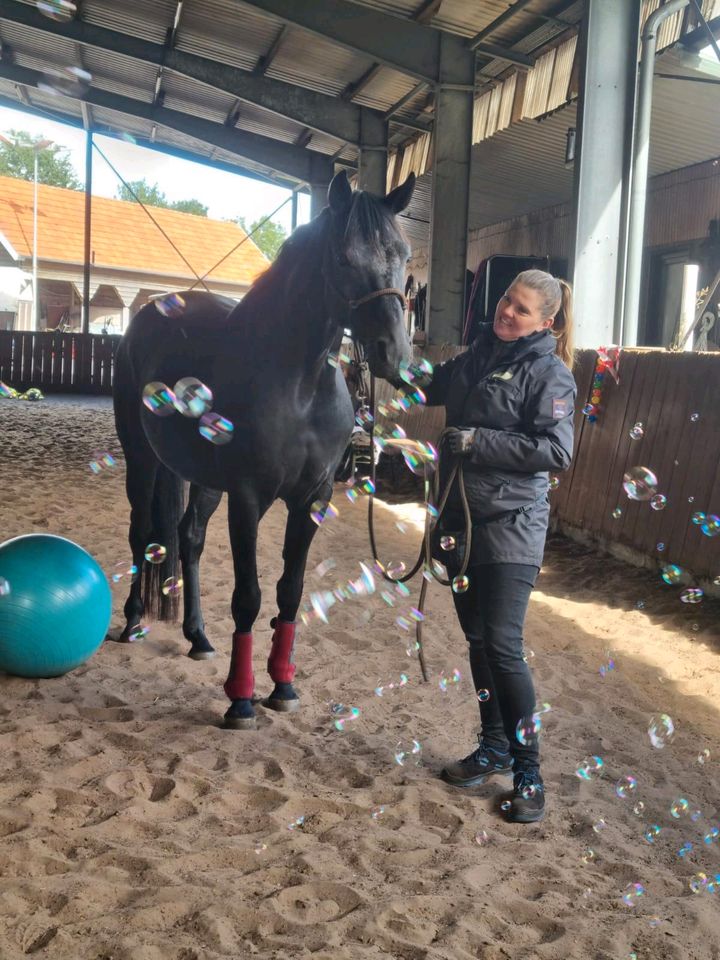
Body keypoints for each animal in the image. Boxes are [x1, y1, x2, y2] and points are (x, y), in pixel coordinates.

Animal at [112, 171, 416, 728]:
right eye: (343, 258)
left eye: (404, 256)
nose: (395, 357)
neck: (301, 384)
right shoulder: (249, 498)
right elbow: (248, 596)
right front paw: (241, 698)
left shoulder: (312, 499)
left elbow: (289, 592)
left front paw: (284, 686)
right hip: (141, 461)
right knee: (142, 535)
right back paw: (132, 622)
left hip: (203, 480)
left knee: (188, 539)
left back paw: (198, 636)